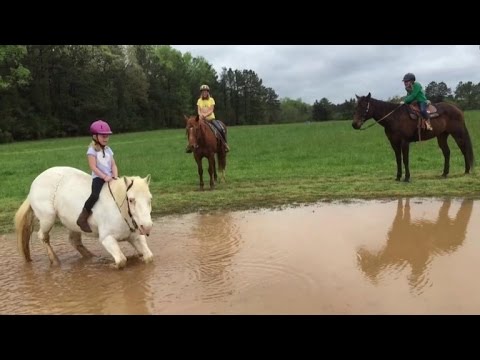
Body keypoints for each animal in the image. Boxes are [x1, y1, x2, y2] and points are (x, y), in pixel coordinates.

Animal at [14, 167, 154, 268]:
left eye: (150, 199)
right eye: (131, 200)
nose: (147, 227)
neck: (120, 209)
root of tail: (35, 184)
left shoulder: (135, 237)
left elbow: (149, 256)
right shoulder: (107, 238)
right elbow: (121, 261)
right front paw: (111, 265)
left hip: (72, 223)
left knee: (74, 241)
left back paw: (92, 257)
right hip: (47, 218)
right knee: (43, 236)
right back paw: (55, 261)